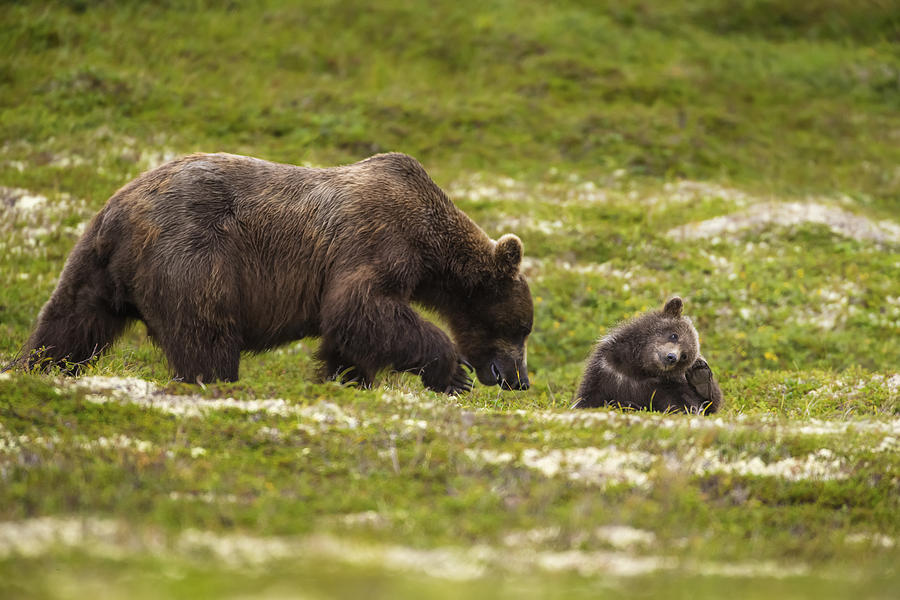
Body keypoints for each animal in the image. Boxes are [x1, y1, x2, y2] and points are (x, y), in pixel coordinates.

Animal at [21, 152, 536, 392]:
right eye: (521, 329)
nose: (519, 379)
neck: (429, 243)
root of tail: (120, 211)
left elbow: (349, 334)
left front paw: (346, 379)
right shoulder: (376, 238)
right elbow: (362, 306)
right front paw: (452, 373)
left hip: (94, 267)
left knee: (67, 325)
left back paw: (32, 366)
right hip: (194, 254)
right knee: (205, 332)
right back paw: (215, 379)